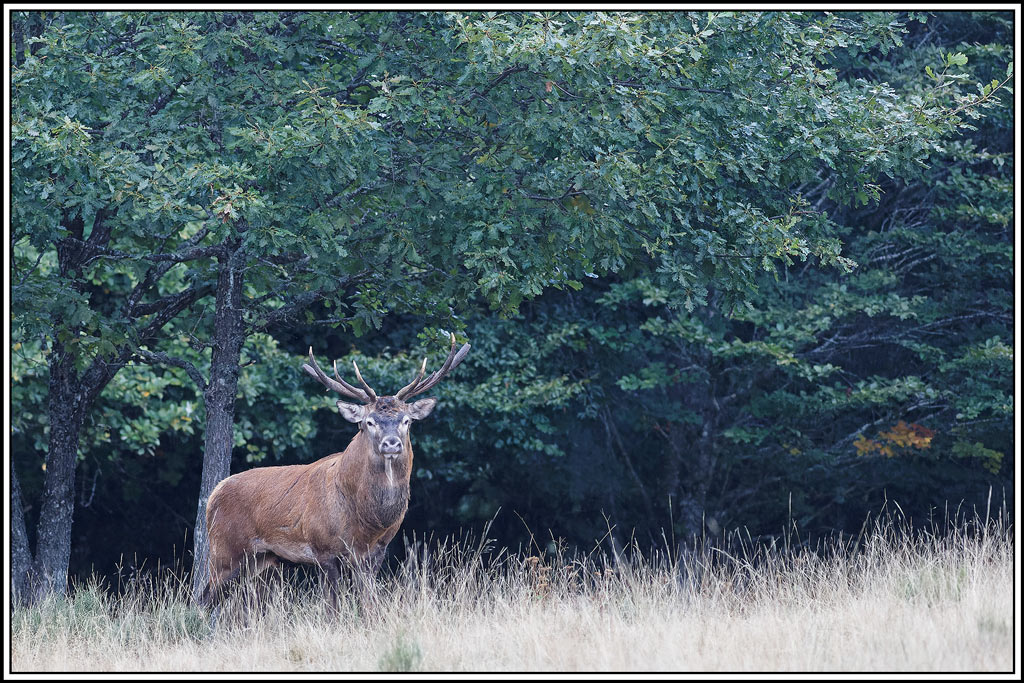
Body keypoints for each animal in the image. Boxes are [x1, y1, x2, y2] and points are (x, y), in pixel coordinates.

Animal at [198, 333, 470, 615]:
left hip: (261, 559)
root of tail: (214, 493)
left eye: (407, 421)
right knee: (204, 598)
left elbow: (369, 603)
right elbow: (333, 609)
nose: (391, 443)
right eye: (368, 422)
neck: (367, 521)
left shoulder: (376, 551)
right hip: (225, 549)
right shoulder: (323, 549)